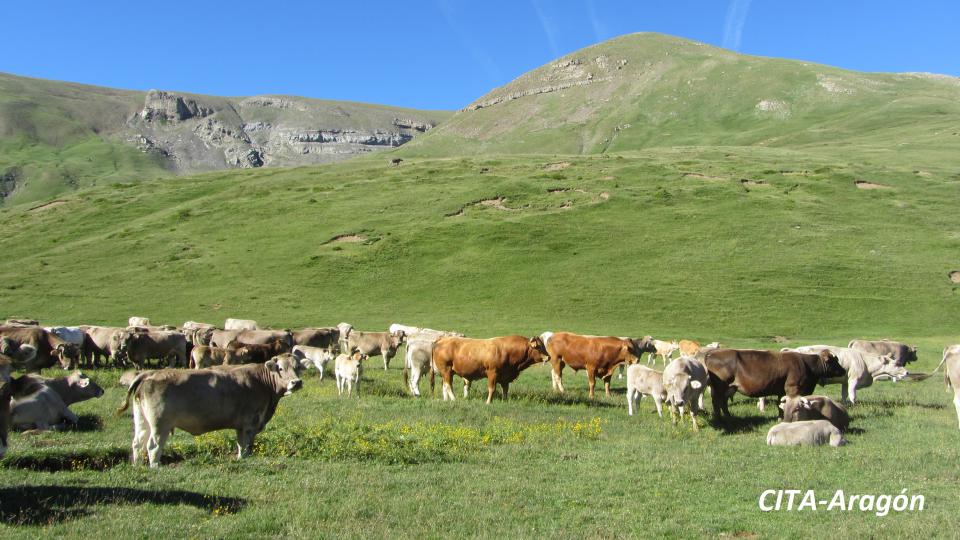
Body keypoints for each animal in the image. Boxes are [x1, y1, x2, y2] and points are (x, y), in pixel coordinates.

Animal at [118, 354, 302, 468]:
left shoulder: (241, 426)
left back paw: (138, 465)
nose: (296, 382)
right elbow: (246, 446)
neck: (261, 382)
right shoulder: (249, 424)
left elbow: (241, 446)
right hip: (159, 424)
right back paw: (155, 466)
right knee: (153, 445)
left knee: (137, 443)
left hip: (142, 420)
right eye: (280, 368)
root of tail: (149, 374)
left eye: (298, 367)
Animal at [700, 348, 844, 420]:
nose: (843, 369)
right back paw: (720, 418)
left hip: (728, 388)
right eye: (834, 361)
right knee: (717, 402)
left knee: (722, 402)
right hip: (720, 386)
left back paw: (728, 417)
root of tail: (711, 353)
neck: (806, 364)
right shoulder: (793, 388)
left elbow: (780, 405)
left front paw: (780, 418)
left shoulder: (781, 391)